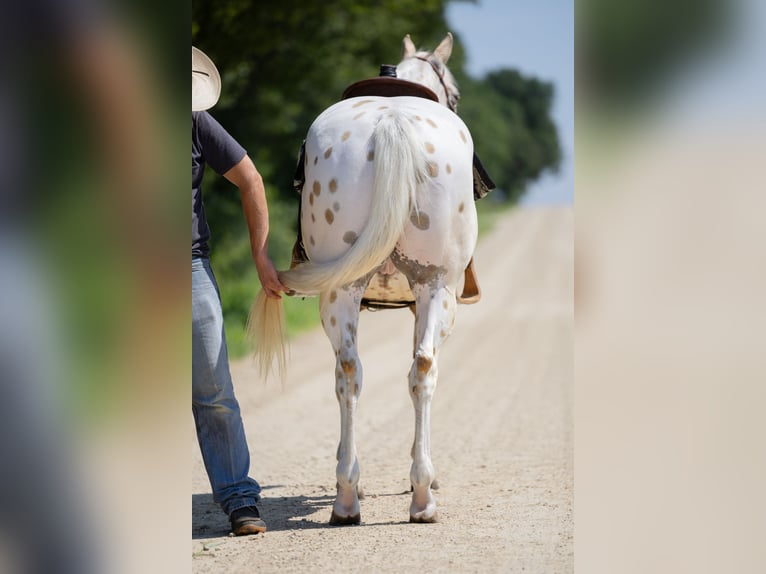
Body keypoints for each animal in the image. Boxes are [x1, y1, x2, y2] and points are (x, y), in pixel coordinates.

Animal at [248, 33, 478, 524]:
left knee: (351, 371)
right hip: (435, 288)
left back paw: (347, 496)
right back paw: (422, 495)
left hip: (341, 292)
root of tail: (392, 121)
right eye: (456, 93)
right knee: (421, 369)